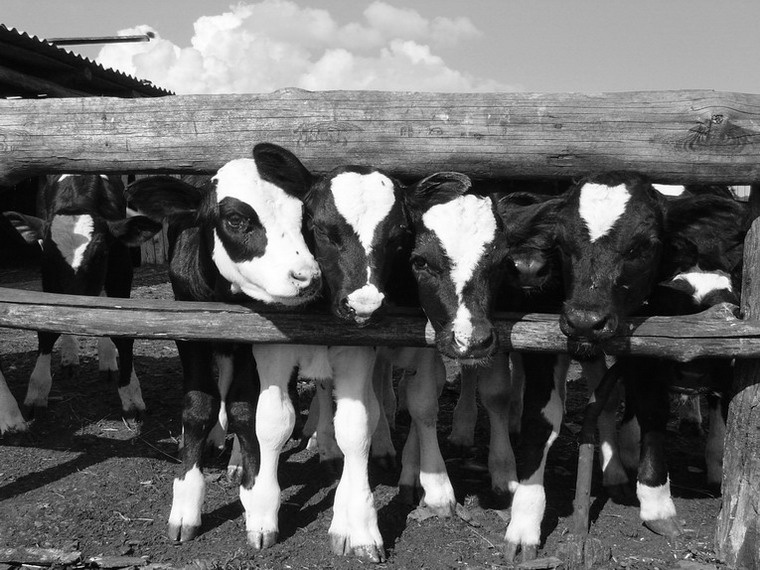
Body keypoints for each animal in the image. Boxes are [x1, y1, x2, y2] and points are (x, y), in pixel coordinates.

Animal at [2, 174, 162, 428]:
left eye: (100, 254)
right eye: (51, 257)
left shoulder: (121, 268)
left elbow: (123, 330)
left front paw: (131, 396)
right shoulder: (48, 276)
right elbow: (47, 328)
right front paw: (37, 392)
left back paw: (107, 360)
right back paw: (70, 357)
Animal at [124, 143, 324, 545]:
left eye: (303, 217)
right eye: (234, 219)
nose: (306, 277)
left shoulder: (254, 336)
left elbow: (245, 409)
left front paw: (257, 501)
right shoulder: (188, 329)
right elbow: (198, 407)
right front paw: (185, 504)